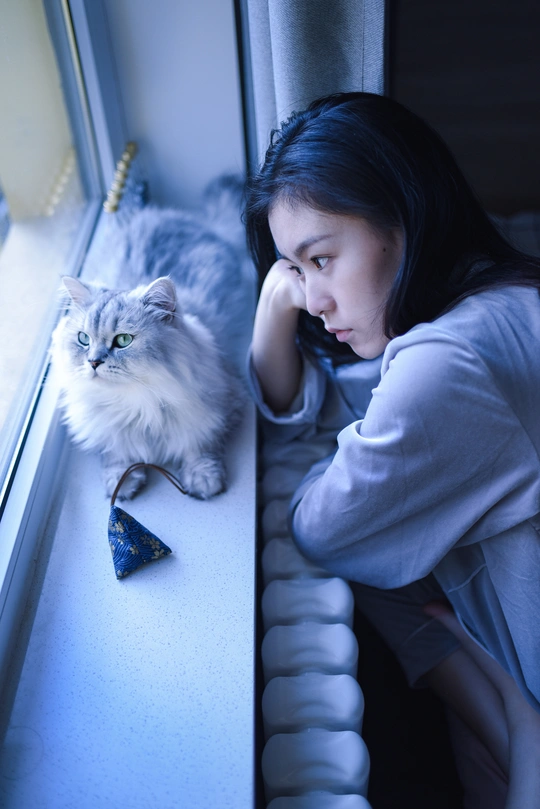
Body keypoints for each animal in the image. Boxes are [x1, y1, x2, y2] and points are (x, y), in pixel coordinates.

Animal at [50, 175, 249, 500]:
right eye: (83, 339)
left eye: (123, 341)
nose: (93, 362)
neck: (136, 404)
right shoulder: (109, 430)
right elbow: (116, 452)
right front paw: (122, 482)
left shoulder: (221, 406)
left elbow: (200, 445)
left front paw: (203, 479)